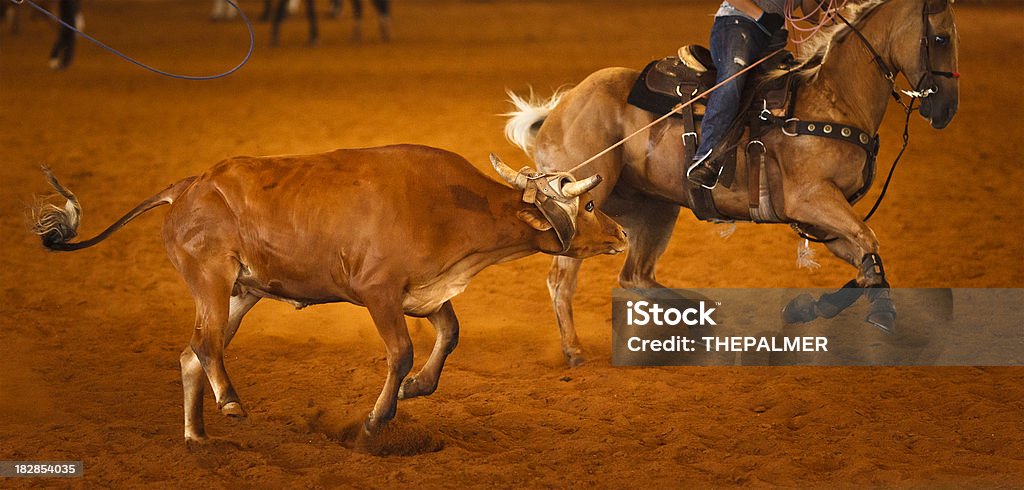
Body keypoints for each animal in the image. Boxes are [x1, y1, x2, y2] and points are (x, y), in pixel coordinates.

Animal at [505, 0, 958, 368]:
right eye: (940, 37)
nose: (946, 109)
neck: (834, 99)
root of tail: (559, 110)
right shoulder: (811, 200)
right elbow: (868, 241)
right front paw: (881, 313)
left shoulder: (824, 219)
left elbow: (865, 259)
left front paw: (806, 309)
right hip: (586, 204)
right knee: (562, 280)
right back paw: (575, 351)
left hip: (654, 209)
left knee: (635, 276)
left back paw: (701, 316)